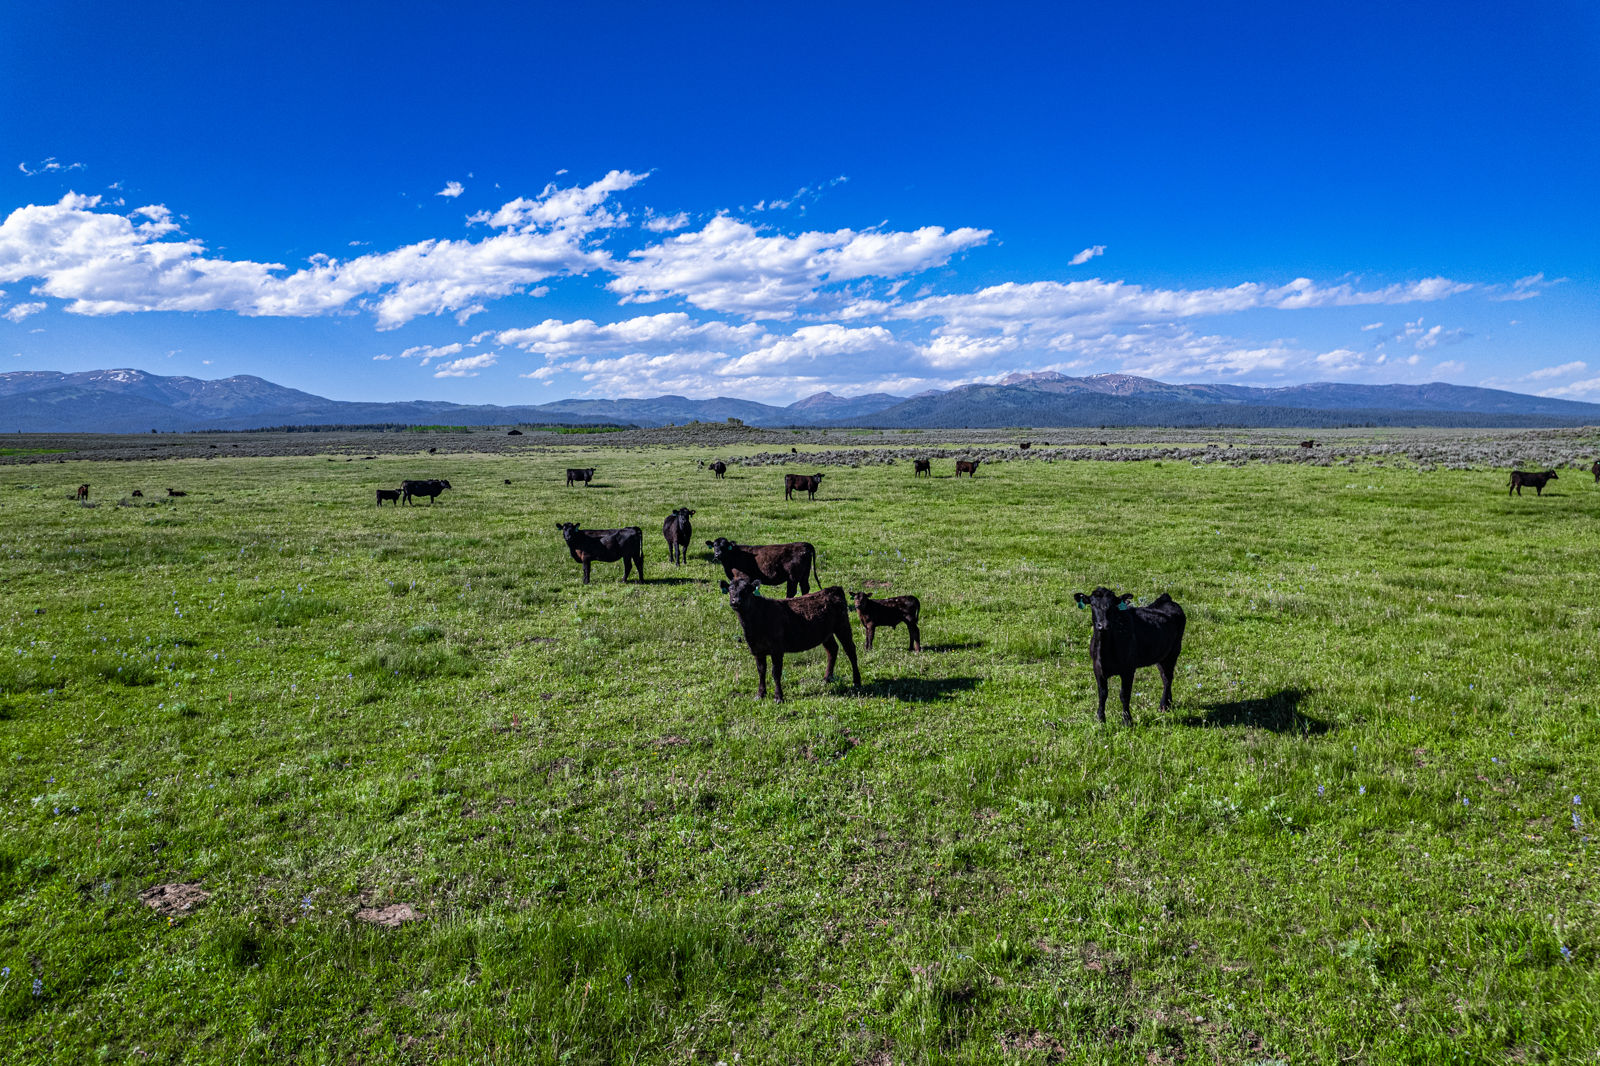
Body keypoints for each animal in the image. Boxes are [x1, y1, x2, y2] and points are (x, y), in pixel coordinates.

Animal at [721, 576, 860, 702]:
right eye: (730, 589)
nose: (736, 600)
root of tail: (834, 589)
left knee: (850, 650)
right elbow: (761, 671)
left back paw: (856, 682)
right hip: (826, 633)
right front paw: (760, 694)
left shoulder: (777, 648)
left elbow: (776, 672)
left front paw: (778, 697)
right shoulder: (756, 649)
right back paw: (827, 678)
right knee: (832, 650)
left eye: (746, 589)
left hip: (842, 625)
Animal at [1073, 587, 1186, 726]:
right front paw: (1100, 719)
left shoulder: (1128, 669)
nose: (1103, 625)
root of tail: (1165, 599)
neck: (1106, 652)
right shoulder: (1097, 668)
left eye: (1113, 606)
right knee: (1164, 677)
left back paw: (1163, 705)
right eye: (1093, 605)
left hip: (1174, 651)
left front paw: (1127, 720)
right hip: (1161, 656)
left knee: (1168, 678)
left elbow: (1124, 695)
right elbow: (1102, 694)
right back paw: (1168, 704)